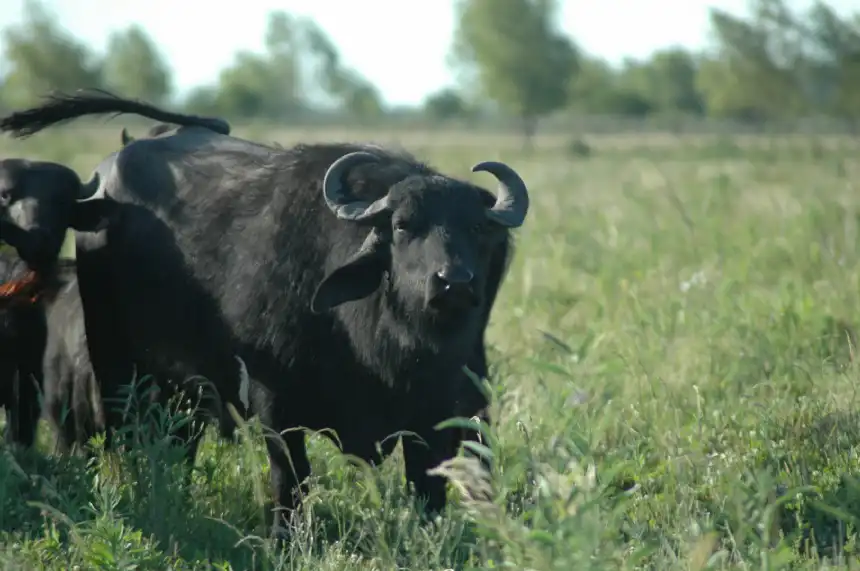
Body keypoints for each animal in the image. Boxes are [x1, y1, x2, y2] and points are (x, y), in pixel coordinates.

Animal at [0, 90, 529, 535]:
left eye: (480, 229)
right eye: (402, 225)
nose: (454, 283)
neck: (385, 346)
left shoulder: (441, 412)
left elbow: (427, 488)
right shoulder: (273, 402)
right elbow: (290, 479)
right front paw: (282, 539)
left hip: (185, 391)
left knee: (178, 446)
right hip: (116, 366)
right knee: (124, 438)